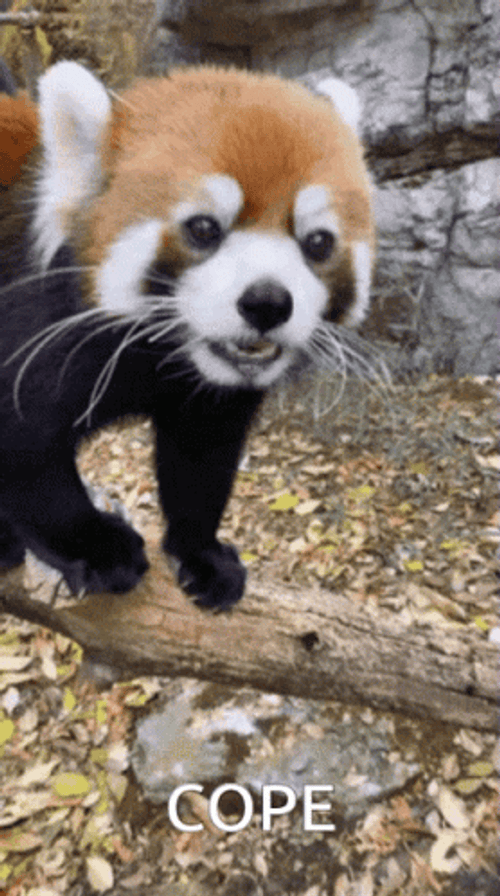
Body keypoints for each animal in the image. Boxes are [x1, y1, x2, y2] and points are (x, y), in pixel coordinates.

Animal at [0, 62, 374, 609]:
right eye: (204, 229)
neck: (158, 352)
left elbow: (200, 459)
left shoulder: (209, 395)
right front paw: (99, 547)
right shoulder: (32, 327)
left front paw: (202, 552)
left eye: (318, 242)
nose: (267, 302)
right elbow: (27, 454)